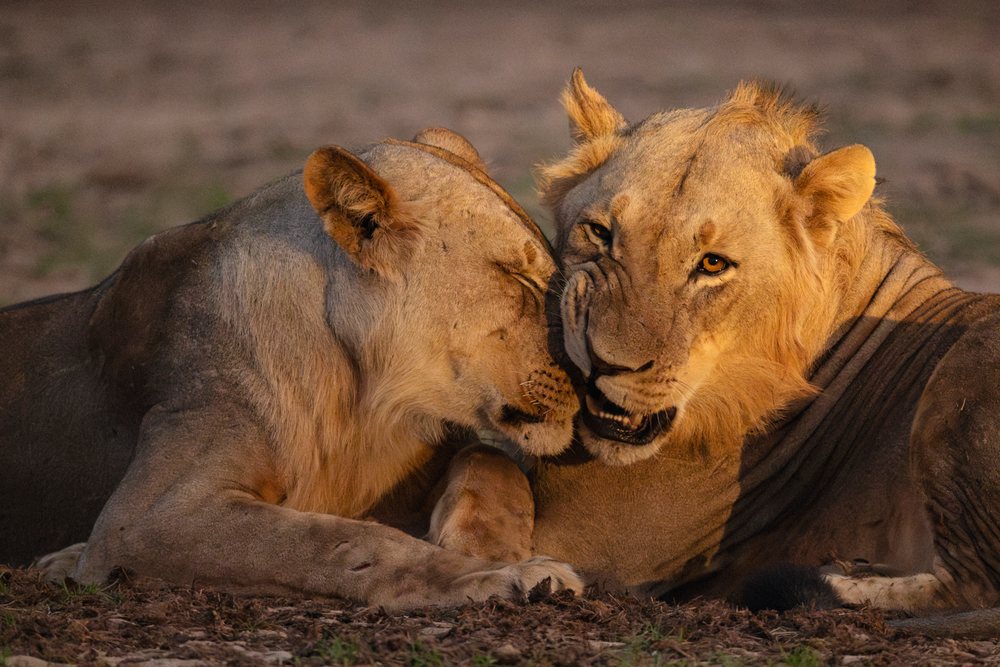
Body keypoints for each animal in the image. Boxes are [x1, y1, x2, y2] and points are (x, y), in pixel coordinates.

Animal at [0, 127, 584, 608]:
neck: (361, 395)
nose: (588, 371)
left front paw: (491, 549)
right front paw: (492, 576)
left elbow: (493, 458)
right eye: (518, 277)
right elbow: (337, 541)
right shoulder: (140, 521)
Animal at [429, 70, 1000, 630]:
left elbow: (484, 455)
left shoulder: (595, 544)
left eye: (712, 264)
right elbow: (482, 452)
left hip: (963, 374)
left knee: (974, 583)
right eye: (600, 232)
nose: (604, 364)